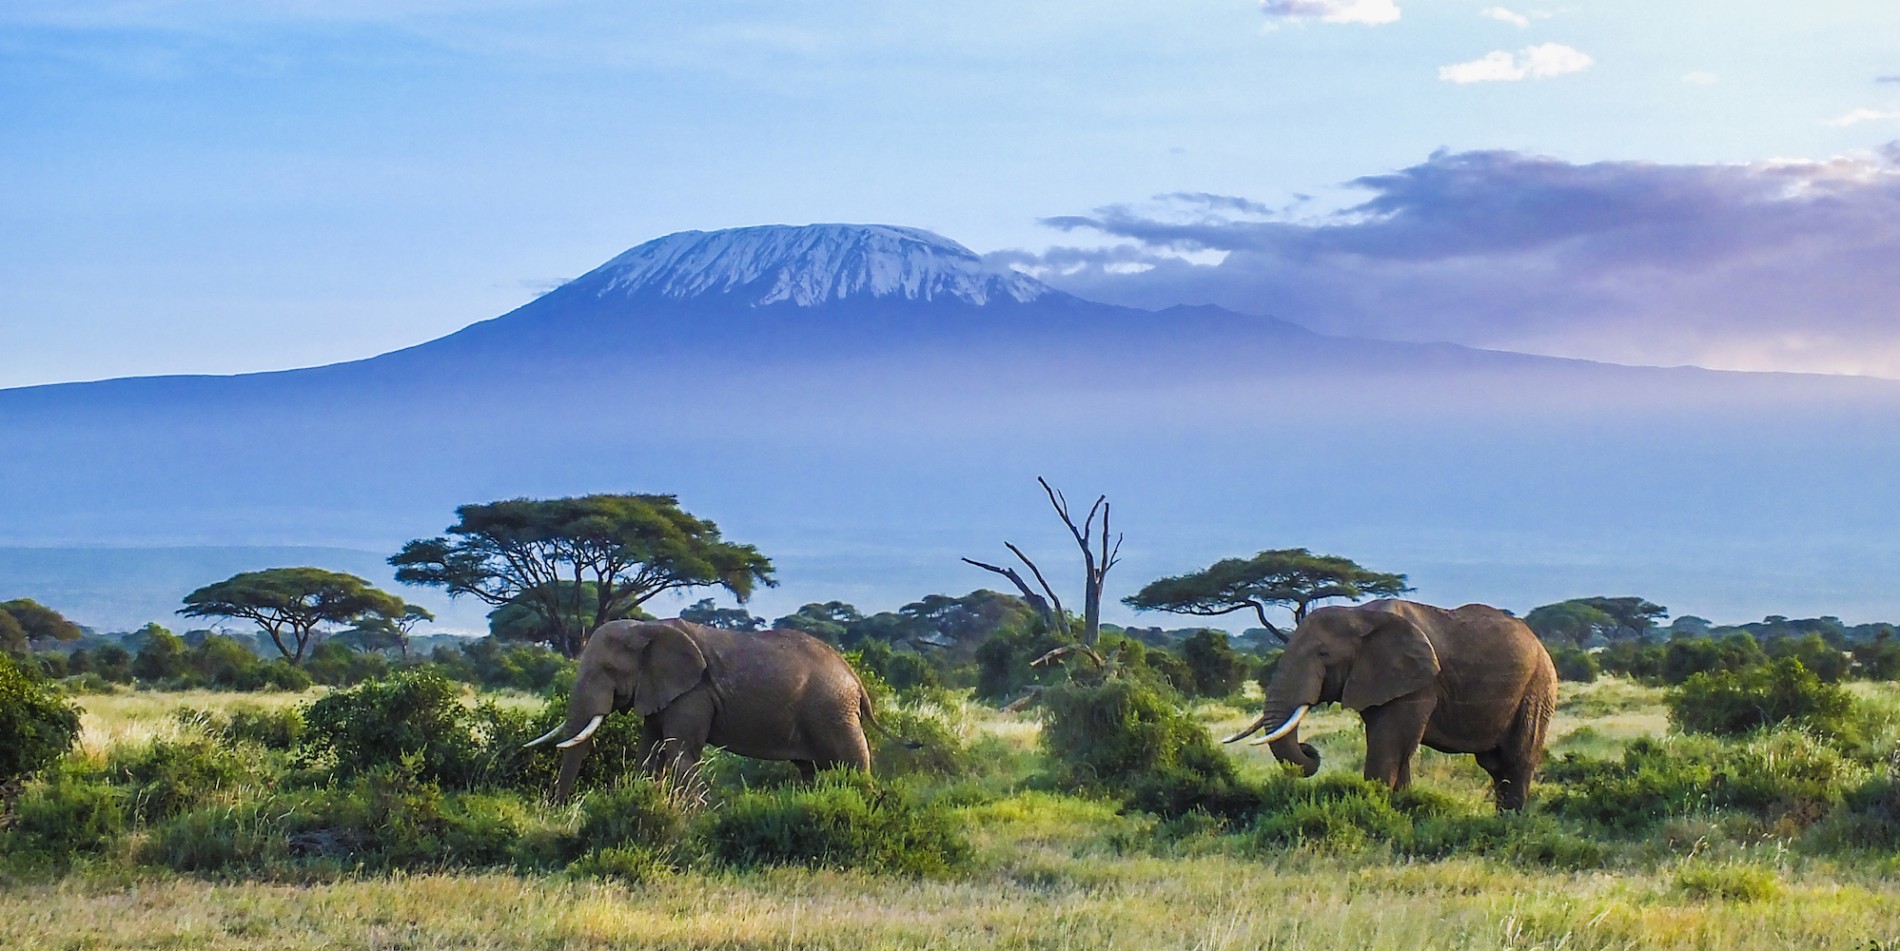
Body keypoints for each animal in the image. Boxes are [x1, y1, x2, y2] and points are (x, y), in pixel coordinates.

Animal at [513, 615, 881, 801]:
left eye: (606, 670)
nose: (557, 809)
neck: (647, 628)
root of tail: (854, 676)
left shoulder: (693, 694)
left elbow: (681, 753)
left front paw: (688, 816)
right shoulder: (659, 690)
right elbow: (649, 752)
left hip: (833, 711)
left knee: (852, 763)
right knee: (810, 771)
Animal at [1231, 599, 1558, 808]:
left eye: (1323, 654)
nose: (1309, 748)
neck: (1359, 615)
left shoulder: (1417, 683)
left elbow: (1390, 745)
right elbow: (1394, 748)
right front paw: (1401, 807)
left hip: (1537, 689)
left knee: (1517, 759)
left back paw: (1509, 822)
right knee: (1494, 765)